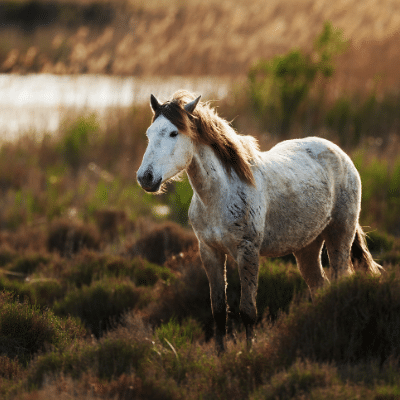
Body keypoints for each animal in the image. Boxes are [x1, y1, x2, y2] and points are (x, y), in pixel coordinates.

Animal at [137, 90, 382, 350]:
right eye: (149, 134)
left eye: (174, 133)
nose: (145, 177)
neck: (221, 193)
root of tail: (341, 154)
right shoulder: (210, 252)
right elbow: (218, 311)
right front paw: (220, 354)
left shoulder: (248, 251)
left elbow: (248, 311)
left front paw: (248, 353)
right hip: (307, 247)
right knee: (319, 286)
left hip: (340, 235)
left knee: (340, 280)